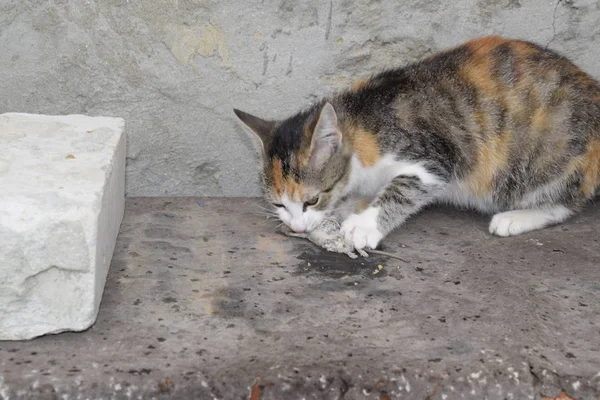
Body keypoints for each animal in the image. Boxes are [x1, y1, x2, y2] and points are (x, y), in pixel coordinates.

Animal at [234, 36, 600, 252]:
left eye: (312, 199)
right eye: (279, 204)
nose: (296, 225)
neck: (360, 124)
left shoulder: (437, 155)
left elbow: (404, 187)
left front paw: (363, 225)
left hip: (544, 158)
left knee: (564, 202)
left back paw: (515, 218)